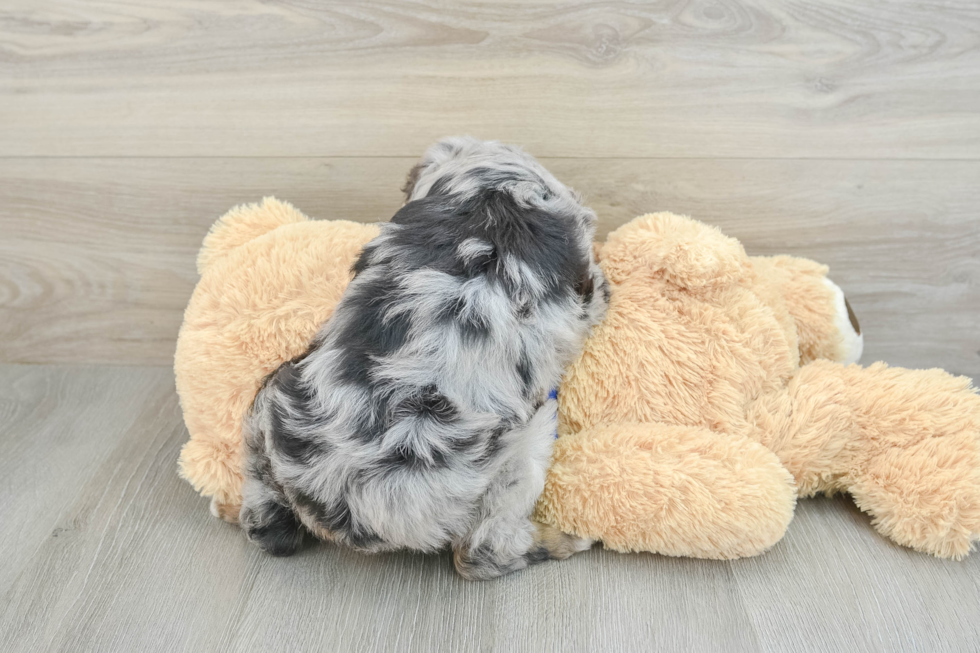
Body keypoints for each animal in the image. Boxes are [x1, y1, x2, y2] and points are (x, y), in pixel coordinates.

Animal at [239, 135, 604, 580]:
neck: (493, 192)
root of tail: (353, 501)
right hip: (520, 454)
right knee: (481, 552)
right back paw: (568, 540)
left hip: (268, 401)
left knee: (260, 509)